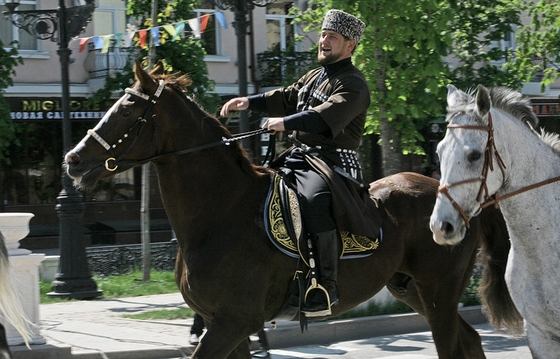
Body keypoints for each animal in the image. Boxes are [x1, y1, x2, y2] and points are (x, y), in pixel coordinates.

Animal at [65, 62, 520, 359]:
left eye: (127, 109)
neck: (218, 214)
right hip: (411, 290)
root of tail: (456, 195)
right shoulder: (224, 325)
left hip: (439, 292)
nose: (74, 160)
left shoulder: (231, 322)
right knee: (470, 341)